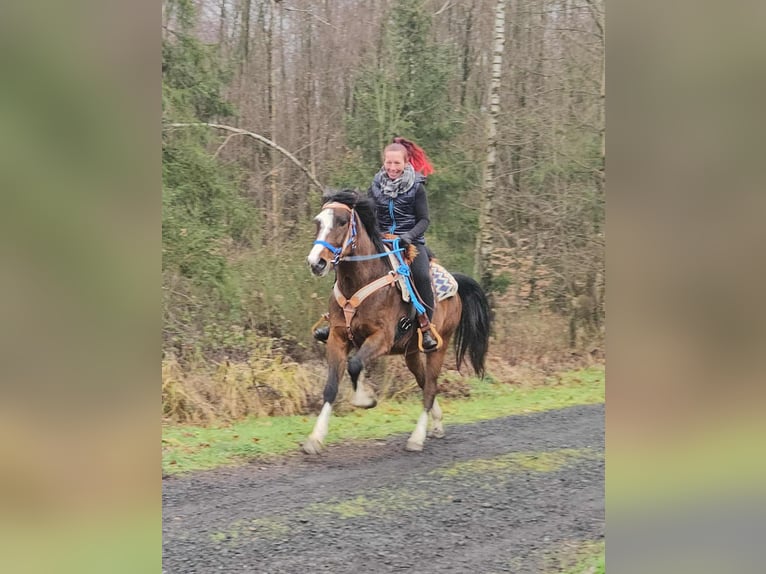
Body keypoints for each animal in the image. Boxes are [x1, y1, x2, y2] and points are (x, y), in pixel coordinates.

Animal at [304, 190, 491, 453]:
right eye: (318, 222)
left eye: (342, 222)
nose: (316, 262)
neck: (360, 282)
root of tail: (455, 282)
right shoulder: (338, 338)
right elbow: (332, 385)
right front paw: (315, 438)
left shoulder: (381, 338)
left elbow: (355, 365)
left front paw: (364, 399)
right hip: (411, 352)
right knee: (424, 382)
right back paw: (437, 424)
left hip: (439, 347)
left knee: (430, 387)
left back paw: (417, 438)